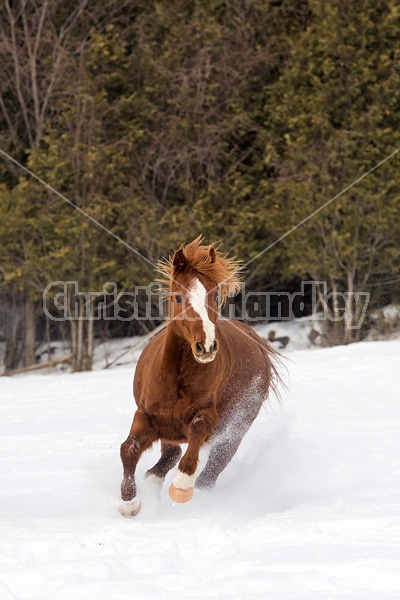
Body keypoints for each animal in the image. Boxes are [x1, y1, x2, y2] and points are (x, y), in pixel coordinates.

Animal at [120, 234, 280, 516]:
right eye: (178, 298)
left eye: (214, 295)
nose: (205, 346)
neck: (177, 377)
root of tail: (257, 341)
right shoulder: (147, 416)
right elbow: (128, 448)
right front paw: (129, 502)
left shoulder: (208, 417)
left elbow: (197, 431)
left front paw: (181, 486)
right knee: (167, 459)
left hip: (234, 432)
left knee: (210, 474)